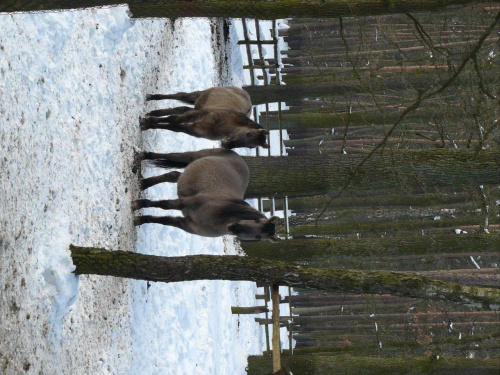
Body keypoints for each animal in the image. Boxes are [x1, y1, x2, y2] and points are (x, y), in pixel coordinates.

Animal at [133, 148, 282, 242]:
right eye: (257, 221)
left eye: (258, 237)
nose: (234, 228)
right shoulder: (185, 203)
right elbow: (164, 204)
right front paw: (137, 204)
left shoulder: (183, 223)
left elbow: (163, 220)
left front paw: (139, 220)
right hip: (192, 156)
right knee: (171, 155)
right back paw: (144, 157)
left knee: (172, 175)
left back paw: (144, 183)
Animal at [141, 87, 270, 150]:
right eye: (249, 134)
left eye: (251, 147)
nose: (227, 146)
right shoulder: (198, 114)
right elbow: (174, 119)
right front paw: (146, 122)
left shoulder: (194, 129)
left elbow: (174, 127)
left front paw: (148, 125)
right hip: (197, 96)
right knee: (179, 96)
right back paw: (152, 97)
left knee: (180, 108)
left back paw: (153, 112)